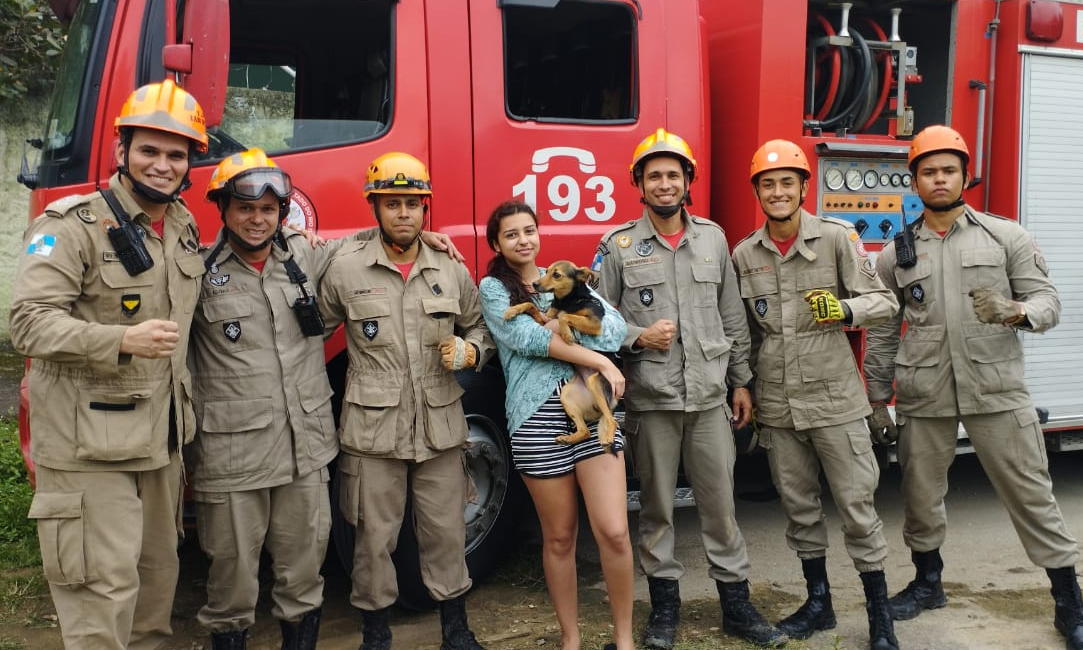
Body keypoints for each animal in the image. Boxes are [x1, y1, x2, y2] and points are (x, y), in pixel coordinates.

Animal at [504, 258, 619, 452]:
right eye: (547, 271)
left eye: (556, 274)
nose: (535, 284)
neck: (567, 300)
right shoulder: (545, 322)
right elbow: (531, 306)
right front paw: (512, 310)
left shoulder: (594, 324)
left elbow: (564, 316)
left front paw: (566, 335)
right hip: (566, 395)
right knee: (585, 431)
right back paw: (567, 439)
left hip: (597, 383)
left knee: (612, 420)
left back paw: (607, 438)